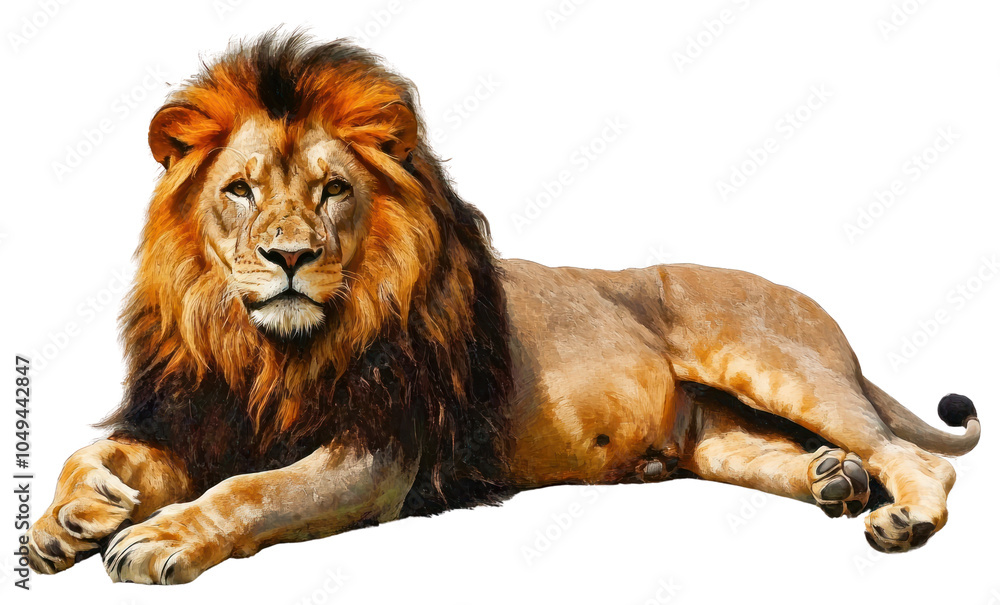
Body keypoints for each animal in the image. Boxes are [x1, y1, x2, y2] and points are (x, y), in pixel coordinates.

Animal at [27, 33, 980, 584]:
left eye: (333, 190)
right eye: (240, 190)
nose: (289, 257)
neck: (271, 352)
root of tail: (811, 302)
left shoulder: (378, 451)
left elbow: (253, 489)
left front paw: (156, 537)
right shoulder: (196, 417)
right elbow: (95, 455)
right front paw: (73, 518)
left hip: (778, 366)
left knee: (914, 457)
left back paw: (901, 516)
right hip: (713, 436)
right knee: (799, 455)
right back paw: (833, 479)